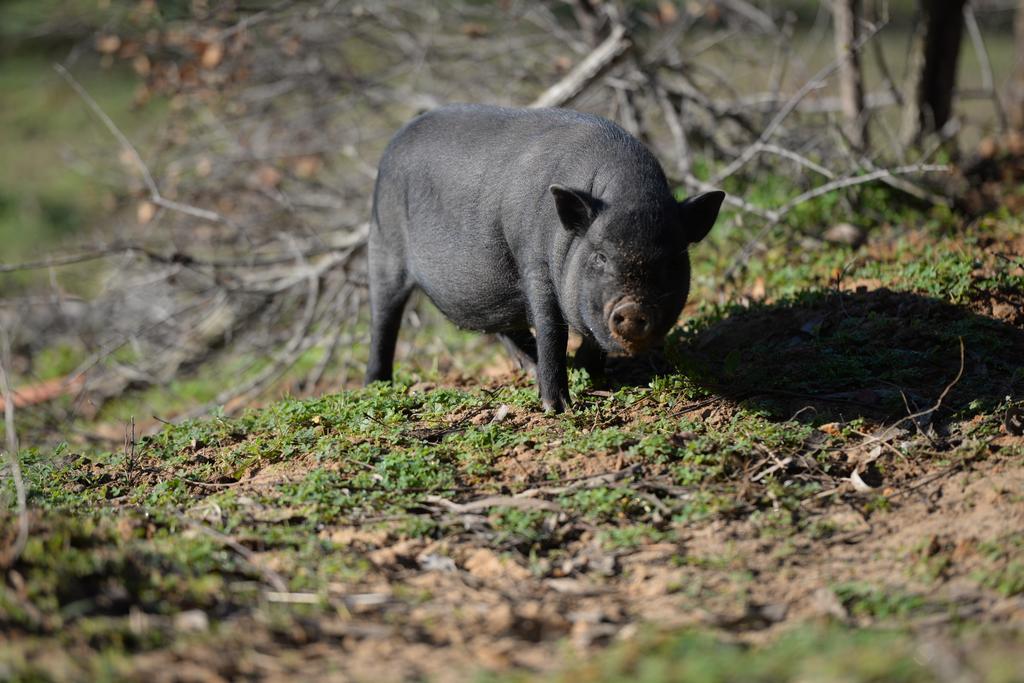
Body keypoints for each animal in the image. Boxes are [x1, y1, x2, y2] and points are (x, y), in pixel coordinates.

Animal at [364, 104, 724, 409]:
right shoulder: (534, 262)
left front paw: (595, 377)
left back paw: (531, 367)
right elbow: (552, 331)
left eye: (672, 260)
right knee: (384, 319)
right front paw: (558, 407)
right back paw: (376, 386)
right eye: (600, 256)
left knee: (504, 324)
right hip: (383, 245)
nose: (633, 307)